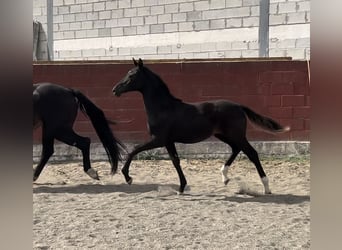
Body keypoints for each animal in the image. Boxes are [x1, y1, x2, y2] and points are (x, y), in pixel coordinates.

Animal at [113, 59, 290, 194]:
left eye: (132, 75)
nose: (115, 90)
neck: (163, 108)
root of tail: (238, 106)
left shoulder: (159, 139)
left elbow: (134, 150)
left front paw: (128, 178)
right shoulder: (169, 141)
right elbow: (175, 161)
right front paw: (181, 188)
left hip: (236, 135)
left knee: (252, 153)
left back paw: (266, 187)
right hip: (224, 135)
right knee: (236, 149)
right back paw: (225, 177)